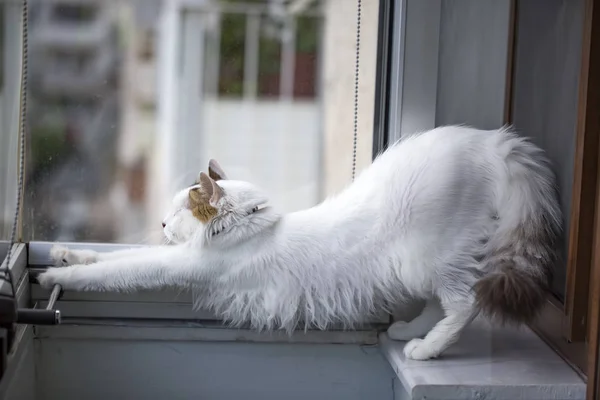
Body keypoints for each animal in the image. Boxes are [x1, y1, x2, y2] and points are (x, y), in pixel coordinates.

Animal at [39, 126, 560, 360]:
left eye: (179, 212)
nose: (163, 224)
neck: (255, 224)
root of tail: (489, 140)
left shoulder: (181, 265)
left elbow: (120, 268)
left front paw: (58, 273)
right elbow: (112, 256)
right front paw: (63, 251)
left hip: (428, 256)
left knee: (465, 302)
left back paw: (426, 349)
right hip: (418, 267)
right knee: (440, 303)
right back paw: (409, 334)